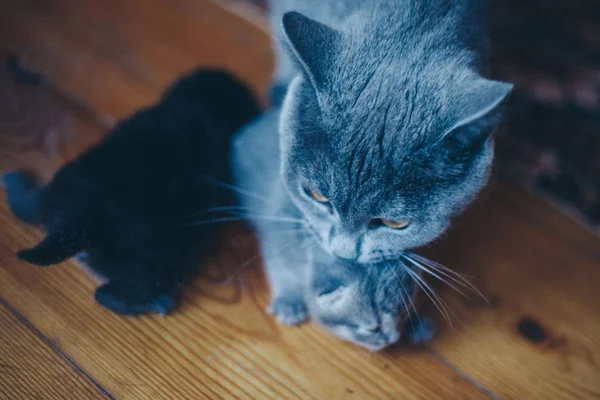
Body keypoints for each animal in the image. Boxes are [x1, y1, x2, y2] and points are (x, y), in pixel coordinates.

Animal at [2, 69, 260, 316]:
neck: (199, 106)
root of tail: (79, 220)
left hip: (61, 186)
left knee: (28, 206)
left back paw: (13, 181)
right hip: (161, 256)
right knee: (118, 292)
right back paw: (161, 303)